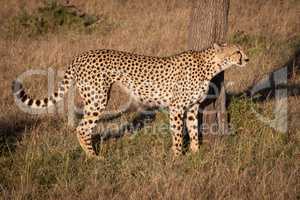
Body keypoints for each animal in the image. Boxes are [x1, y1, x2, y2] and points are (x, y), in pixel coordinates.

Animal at [12, 43, 248, 157]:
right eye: (237, 51)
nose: (247, 58)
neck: (209, 65)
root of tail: (81, 55)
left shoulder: (191, 108)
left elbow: (193, 131)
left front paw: (196, 155)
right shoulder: (176, 107)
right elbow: (178, 134)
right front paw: (177, 157)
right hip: (98, 98)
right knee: (82, 127)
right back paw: (94, 157)